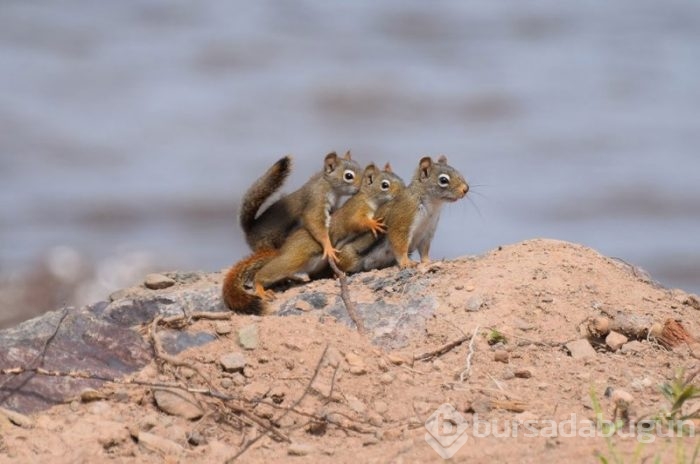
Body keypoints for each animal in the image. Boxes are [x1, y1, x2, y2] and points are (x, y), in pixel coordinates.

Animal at [221, 164, 402, 316]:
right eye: (385, 184)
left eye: (398, 177)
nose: (402, 192)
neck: (369, 197)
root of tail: (282, 250)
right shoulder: (355, 210)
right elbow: (356, 222)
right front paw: (373, 223)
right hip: (293, 258)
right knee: (265, 273)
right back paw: (260, 288)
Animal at [334, 156, 468, 272]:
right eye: (443, 180)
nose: (466, 189)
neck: (432, 206)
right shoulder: (403, 217)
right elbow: (399, 244)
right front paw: (406, 263)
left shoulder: (427, 232)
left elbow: (424, 250)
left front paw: (428, 261)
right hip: (349, 256)